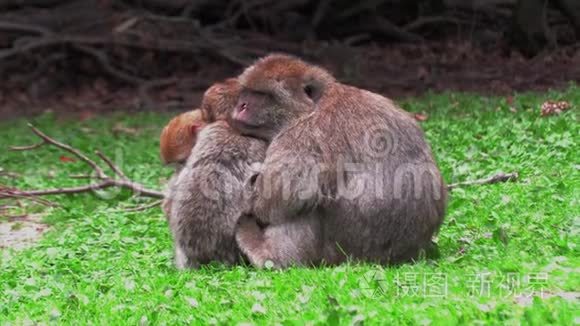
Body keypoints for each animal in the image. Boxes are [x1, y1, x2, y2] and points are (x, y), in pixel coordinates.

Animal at [231, 53, 448, 268]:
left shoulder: (302, 137)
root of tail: (403, 254)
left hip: (345, 248)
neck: (313, 107)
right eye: (247, 91)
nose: (241, 105)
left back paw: (269, 255)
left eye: (262, 95)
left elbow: (277, 198)